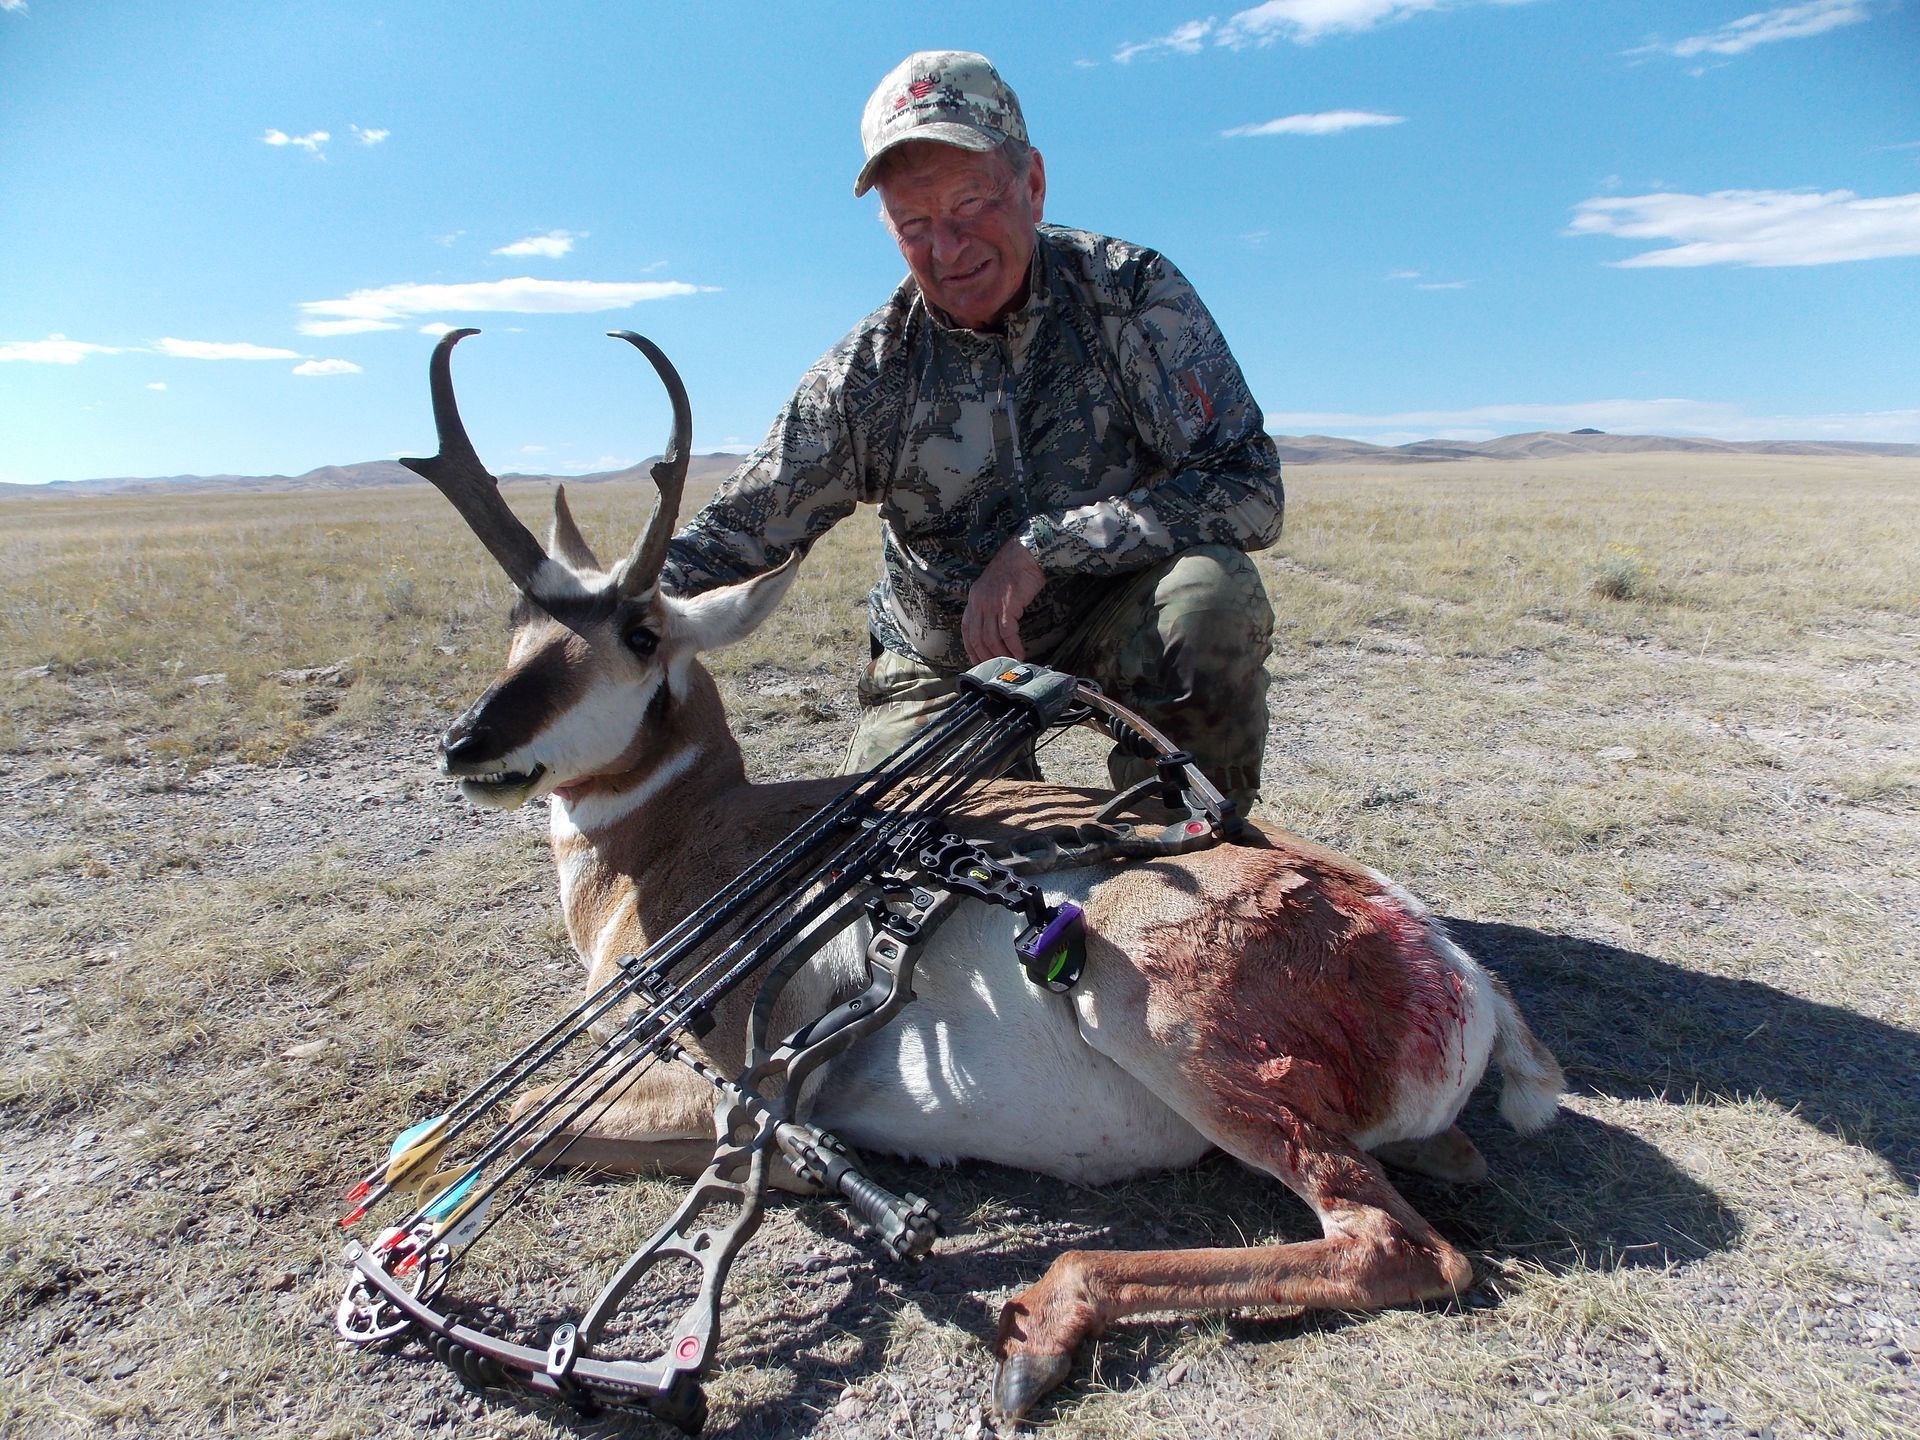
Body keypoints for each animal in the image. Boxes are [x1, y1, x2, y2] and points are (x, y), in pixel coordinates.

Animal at [406, 328, 1565, 1420]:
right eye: (519, 623)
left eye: (641, 631)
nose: (468, 744)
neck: (687, 837)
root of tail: (1435, 947)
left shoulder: (720, 1091)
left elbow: (497, 1128)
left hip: (1166, 1025)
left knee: (1398, 1247)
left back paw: (1044, 1324)